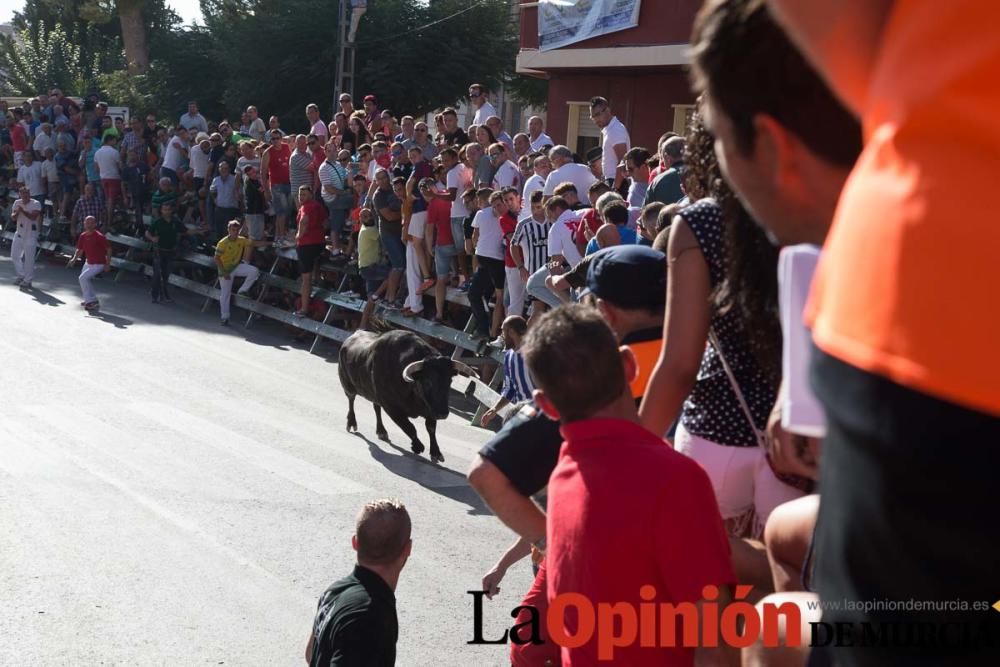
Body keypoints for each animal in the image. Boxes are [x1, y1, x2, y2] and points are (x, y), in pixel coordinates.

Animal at [338, 330, 474, 464]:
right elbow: (409, 427)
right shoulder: (391, 407)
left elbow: (431, 428)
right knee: (351, 401)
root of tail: (351, 337)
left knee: (376, 407)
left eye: (450, 381)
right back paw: (351, 422)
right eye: (427, 382)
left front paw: (436, 452)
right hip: (348, 386)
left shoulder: (430, 409)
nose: (443, 413)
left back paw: (381, 431)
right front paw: (418, 446)